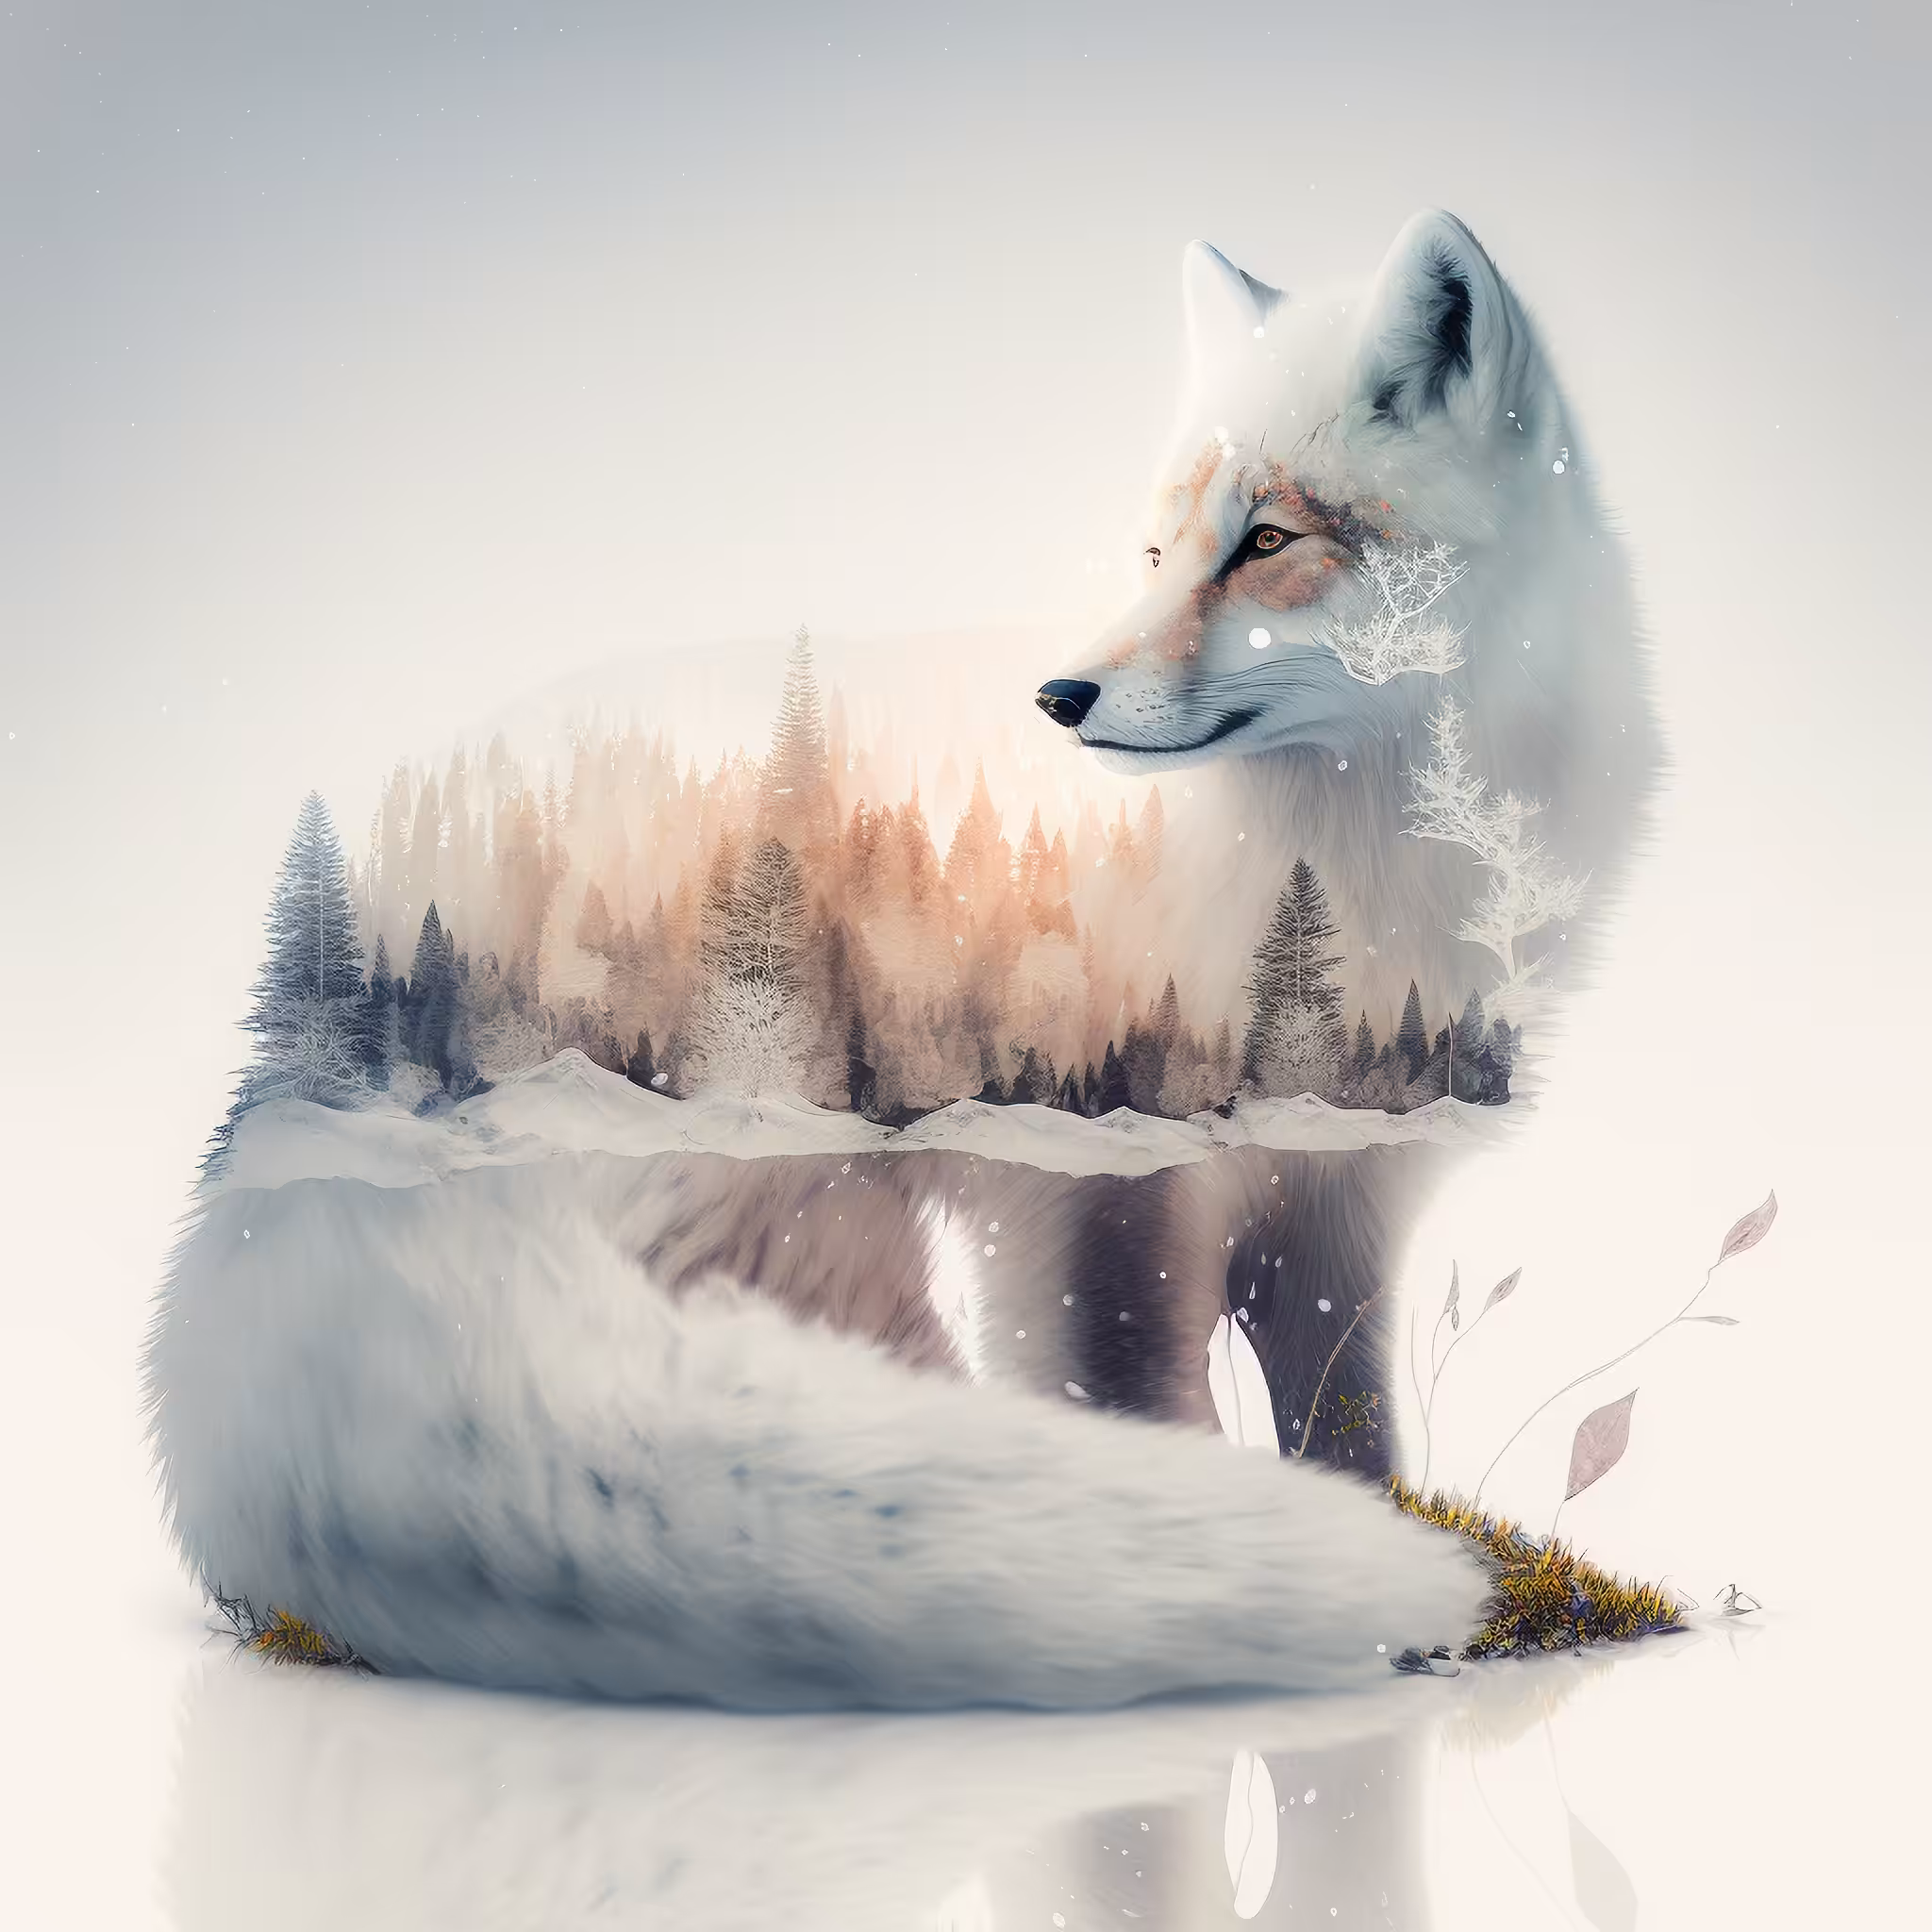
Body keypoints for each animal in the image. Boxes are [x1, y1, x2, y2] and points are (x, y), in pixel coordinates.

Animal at [148, 211, 1652, 1710]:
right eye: (1154, 552)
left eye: (1269, 537)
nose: (1060, 699)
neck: (1344, 863)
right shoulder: (1093, 1193)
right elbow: (1141, 1402)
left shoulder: (1350, 1190)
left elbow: (1352, 1435)